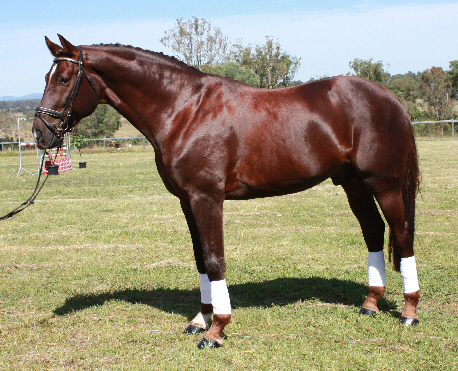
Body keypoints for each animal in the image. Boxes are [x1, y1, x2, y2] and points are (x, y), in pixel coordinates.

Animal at [31, 35, 422, 348]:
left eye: (64, 78)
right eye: (48, 77)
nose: (40, 132)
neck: (184, 110)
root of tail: (392, 100)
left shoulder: (207, 199)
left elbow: (216, 259)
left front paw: (216, 331)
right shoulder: (187, 201)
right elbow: (201, 259)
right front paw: (200, 319)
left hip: (384, 184)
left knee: (402, 235)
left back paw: (409, 311)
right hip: (353, 183)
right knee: (374, 230)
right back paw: (370, 304)